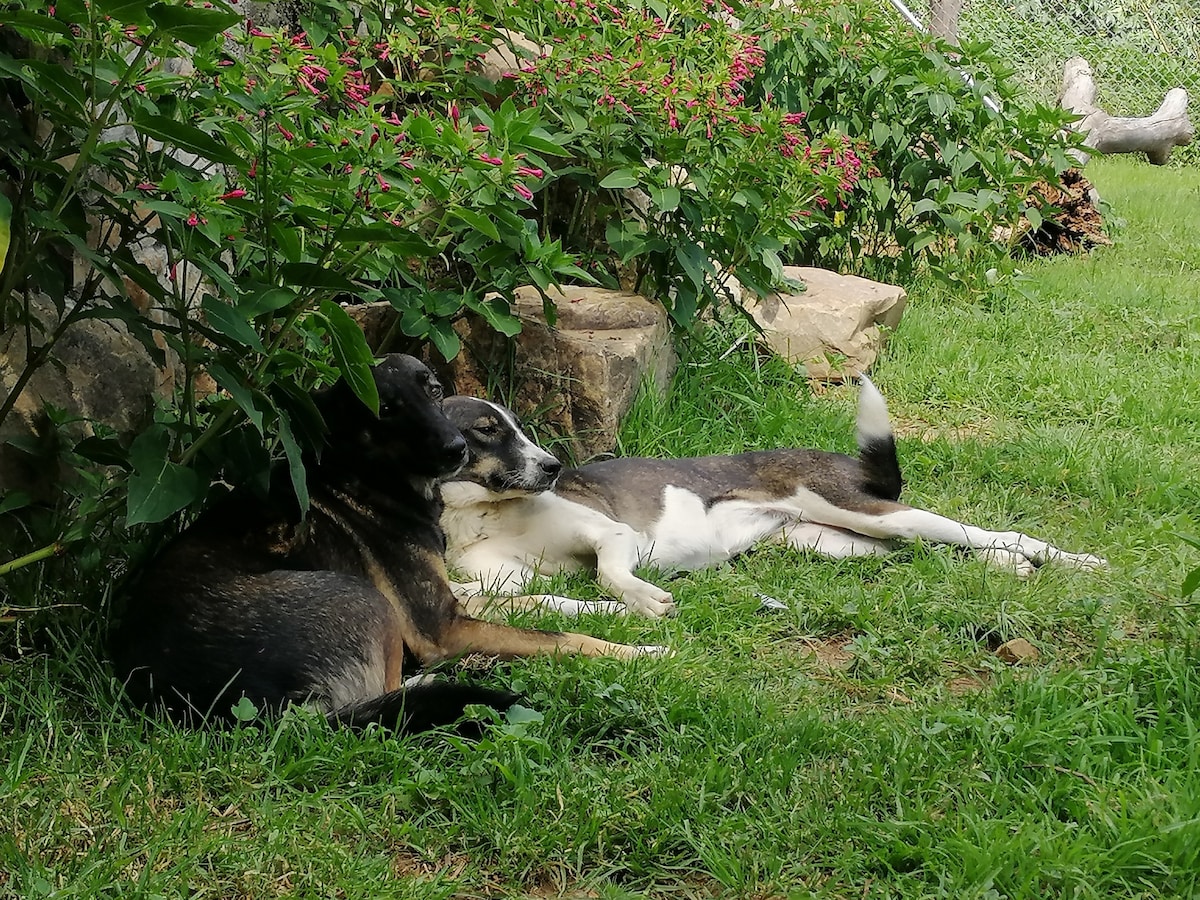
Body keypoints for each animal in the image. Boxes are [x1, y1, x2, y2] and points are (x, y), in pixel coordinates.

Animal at [108, 355, 662, 734]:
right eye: (387, 410)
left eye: (434, 392)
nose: (454, 448)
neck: (372, 477)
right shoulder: (442, 627)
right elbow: (561, 638)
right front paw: (643, 651)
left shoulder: (447, 603)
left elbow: (539, 602)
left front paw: (613, 607)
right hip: (363, 599)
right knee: (391, 693)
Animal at [441, 381, 1104, 619]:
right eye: (489, 430)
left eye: (517, 426)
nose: (554, 467)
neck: (481, 514)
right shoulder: (501, 582)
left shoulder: (612, 536)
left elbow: (609, 573)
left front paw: (645, 597)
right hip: (841, 544)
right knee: (925, 556)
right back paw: (1009, 568)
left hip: (868, 513)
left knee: (993, 534)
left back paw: (1074, 562)